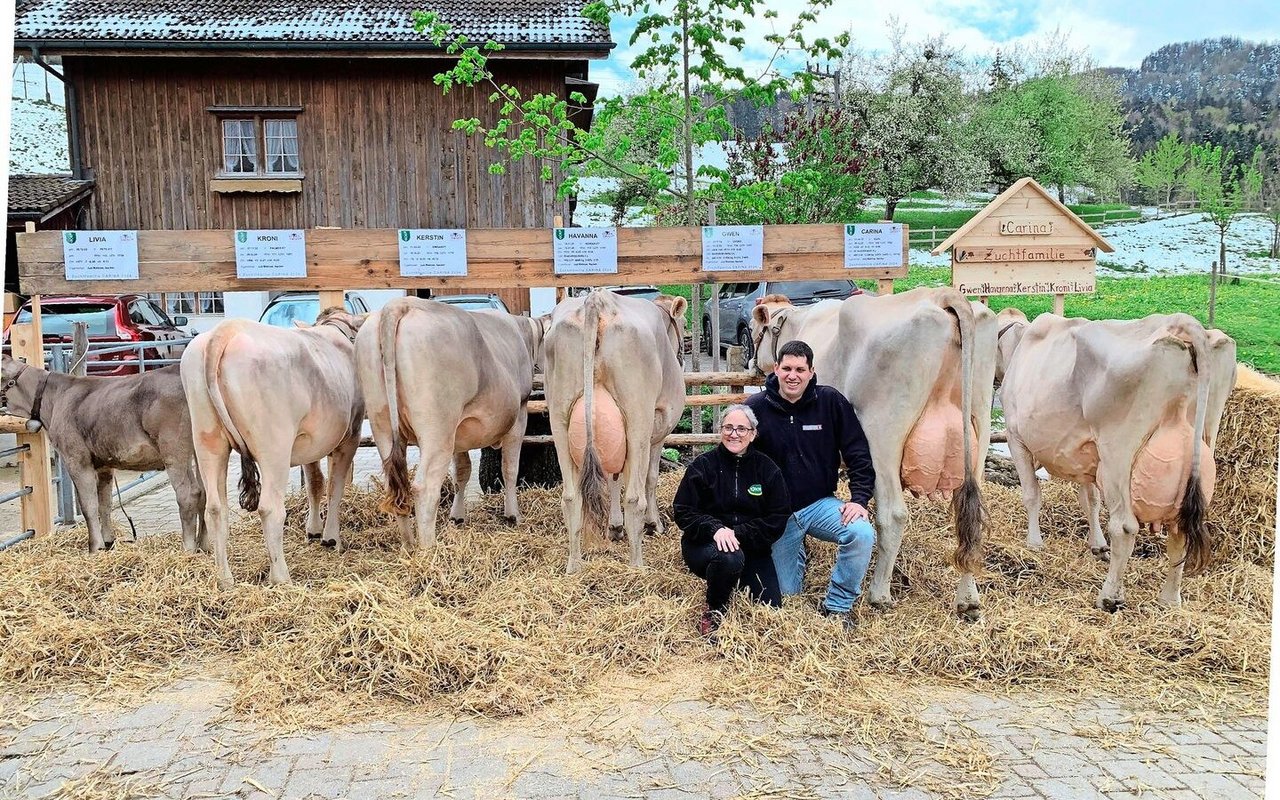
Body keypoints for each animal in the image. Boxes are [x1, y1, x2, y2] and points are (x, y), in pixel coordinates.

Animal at [179, 305, 366, 586]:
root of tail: (225, 331)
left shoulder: (310, 442)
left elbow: (315, 483)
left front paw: (313, 531)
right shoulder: (350, 435)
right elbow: (336, 486)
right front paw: (331, 538)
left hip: (206, 438)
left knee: (215, 508)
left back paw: (225, 579)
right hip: (274, 445)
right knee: (269, 508)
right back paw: (281, 577)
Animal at [353, 296, 547, 552]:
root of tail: (401, 303)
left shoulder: (460, 432)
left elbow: (462, 473)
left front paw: (457, 516)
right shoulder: (519, 416)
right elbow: (510, 469)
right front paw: (513, 515)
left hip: (382, 422)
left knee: (395, 482)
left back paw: (408, 545)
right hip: (437, 428)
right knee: (424, 487)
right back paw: (428, 549)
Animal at [547, 286, 696, 568]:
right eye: (683, 323)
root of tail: (597, 301)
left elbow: (613, 477)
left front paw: (614, 527)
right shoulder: (658, 432)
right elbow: (651, 477)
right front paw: (653, 524)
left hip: (559, 416)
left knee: (571, 498)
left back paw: (574, 565)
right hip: (637, 419)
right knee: (635, 497)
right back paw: (637, 565)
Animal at [747, 286, 998, 616]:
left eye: (753, 329)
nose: (750, 364)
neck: (797, 322)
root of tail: (941, 295)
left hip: (882, 432)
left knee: (893, 514)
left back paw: (879, 593)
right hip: (979, 426)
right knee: (970, 515)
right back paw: (968, 599)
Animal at [1003, 312, 1233, 604]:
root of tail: (1179, 322)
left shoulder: (1015, 437)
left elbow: (1032, 494)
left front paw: (1034, 543)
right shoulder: (1086, 456)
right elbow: (1090, 501)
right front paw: (1097, 545)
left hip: (1118, 455)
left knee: (1124, 526)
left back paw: (1110, 596)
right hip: (1204, 439)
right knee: (1180, 532)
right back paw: (1170, 599)